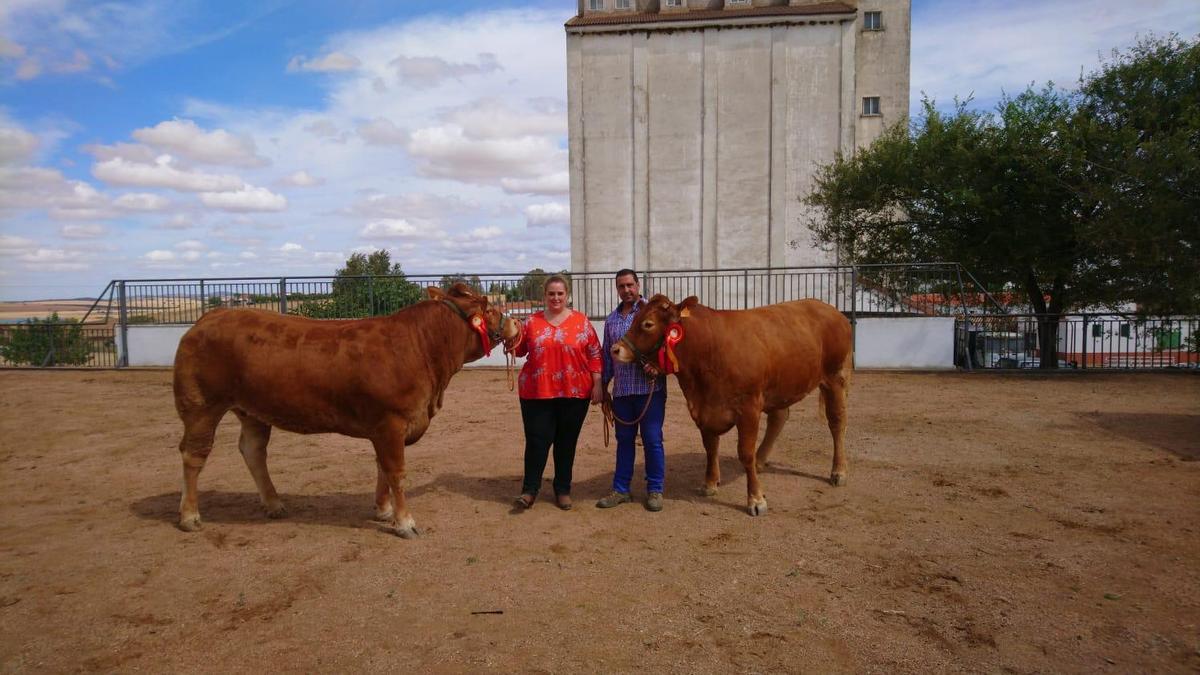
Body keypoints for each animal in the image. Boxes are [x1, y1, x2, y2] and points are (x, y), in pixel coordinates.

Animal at [171, 282, 518, 535]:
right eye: (488, 308)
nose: (515, 321)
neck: (421, 347)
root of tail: (209, 317)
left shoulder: (384, 428)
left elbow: (382, 468)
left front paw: (383, 510)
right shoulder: (391, 422)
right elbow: (396, 471)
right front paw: (404, 522)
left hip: (253, 410)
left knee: (253, 450)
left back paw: (273, 504)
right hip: (201, 405)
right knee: (193, 454)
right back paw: (189, 516)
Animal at [609, 294, 854, 514]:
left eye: (647, 324)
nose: (615, 349)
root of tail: (831, 310)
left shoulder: (749, 408)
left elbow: (745, 452)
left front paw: (756, 499)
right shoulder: (703, 409)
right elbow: (710, 447)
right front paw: (709, 484)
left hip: (835, 377)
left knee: (837, 423)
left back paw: (839, 472)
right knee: (779, 417)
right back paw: (761, 461)